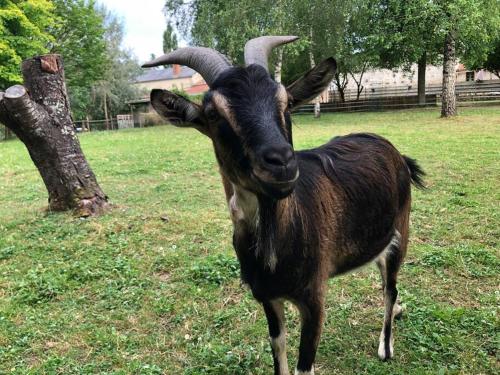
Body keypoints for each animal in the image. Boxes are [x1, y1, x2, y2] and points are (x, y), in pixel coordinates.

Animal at [143, 36, 424, 375]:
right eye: (212, 113)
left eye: (286, 101)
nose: (281, 162)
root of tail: (396, 153)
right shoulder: (266, 296)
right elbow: (277, 345)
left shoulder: (314, 297)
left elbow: (305, 365)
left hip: (401, 232)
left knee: (389, 288)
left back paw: (386, 346)